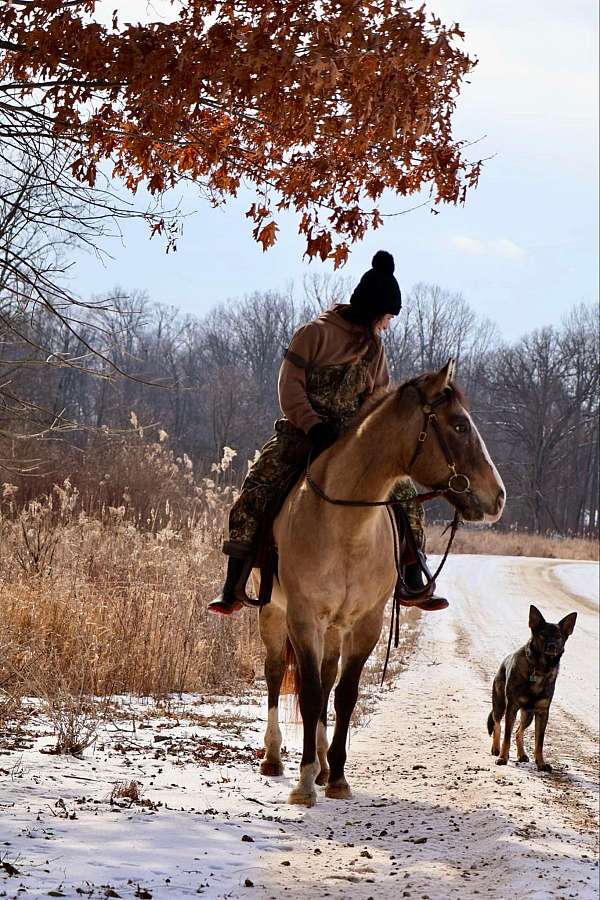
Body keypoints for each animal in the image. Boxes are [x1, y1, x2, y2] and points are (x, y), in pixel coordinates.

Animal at [255, 360, 504, 808]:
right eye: (459, 425)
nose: (498, 498)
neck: (346, 524)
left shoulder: (366, 623)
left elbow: (343, 694)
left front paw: (335, 776)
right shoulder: (303, 618)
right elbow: (311, 692)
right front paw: (304, 783)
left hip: (334, 628)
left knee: (327, 677)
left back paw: (321, 761)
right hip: (272, 612)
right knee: (274, 672)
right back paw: (273, 758)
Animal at [488, 600, 576, 768]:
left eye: (558, 636)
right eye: (543, 634)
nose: (552, 646)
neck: (540, 668)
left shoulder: (542, 712)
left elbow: (539, 742)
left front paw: (541, 763)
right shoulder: (512, 708)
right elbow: (506, 736)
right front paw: (503, 758)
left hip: (528, 714)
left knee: (518, 731)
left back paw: (522, 754)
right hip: (500, 706)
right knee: (497, 725)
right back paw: (496, 749)